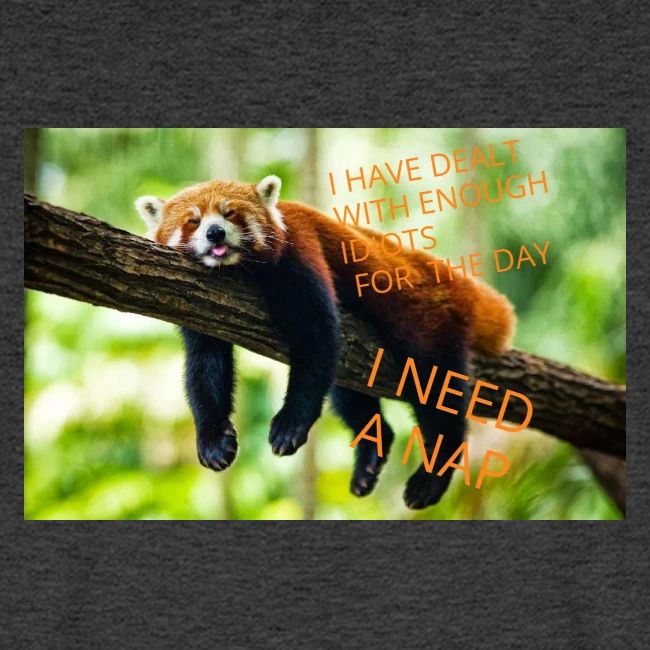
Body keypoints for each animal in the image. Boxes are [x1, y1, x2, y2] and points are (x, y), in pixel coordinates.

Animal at [136, 175, 515, 509]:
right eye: (193, 221)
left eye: (230, 214)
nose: (215, 232)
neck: (238, 270)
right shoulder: (200, 303)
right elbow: (205, 366)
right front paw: (213, 440)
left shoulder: (300, 252)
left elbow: (316, 337)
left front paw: (290, 425)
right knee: (348, 394)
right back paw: (370, 458)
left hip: (427, 322)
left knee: (436, 391)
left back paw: (431, 477)